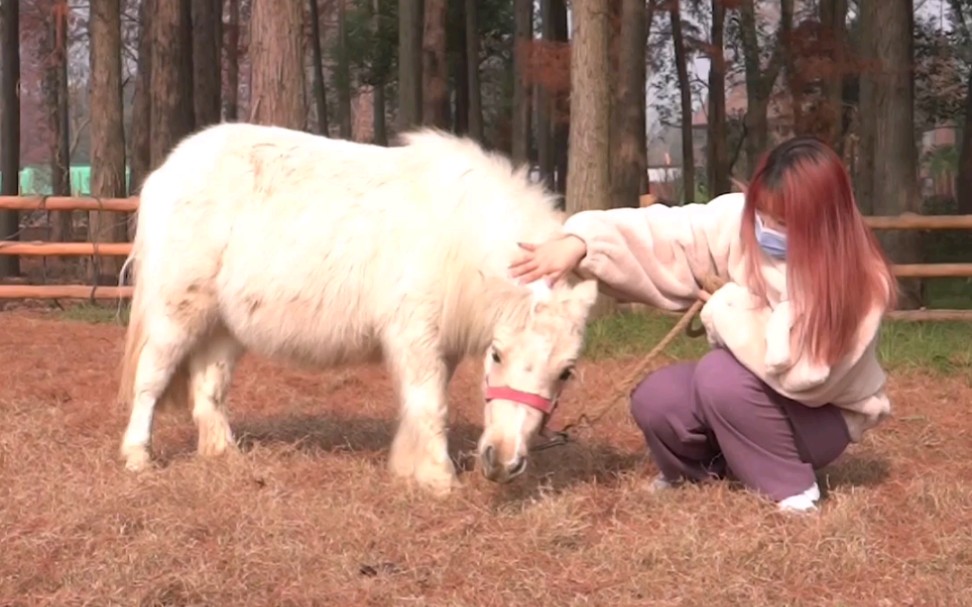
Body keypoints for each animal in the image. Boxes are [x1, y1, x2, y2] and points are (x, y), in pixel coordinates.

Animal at [116, 122, 600, 494]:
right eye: (496, 355)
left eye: (566, 372)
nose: (503, 463)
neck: (455, 237)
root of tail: (167, 171)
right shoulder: (414, 335)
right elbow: (430, 404)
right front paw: (440, 480)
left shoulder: (439, 347)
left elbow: (420, 404)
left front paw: (410, 467)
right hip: (176, 311)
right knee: (150, 379)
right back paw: (137, 457)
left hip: (222, 326)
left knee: (208, 386)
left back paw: (224, 454)